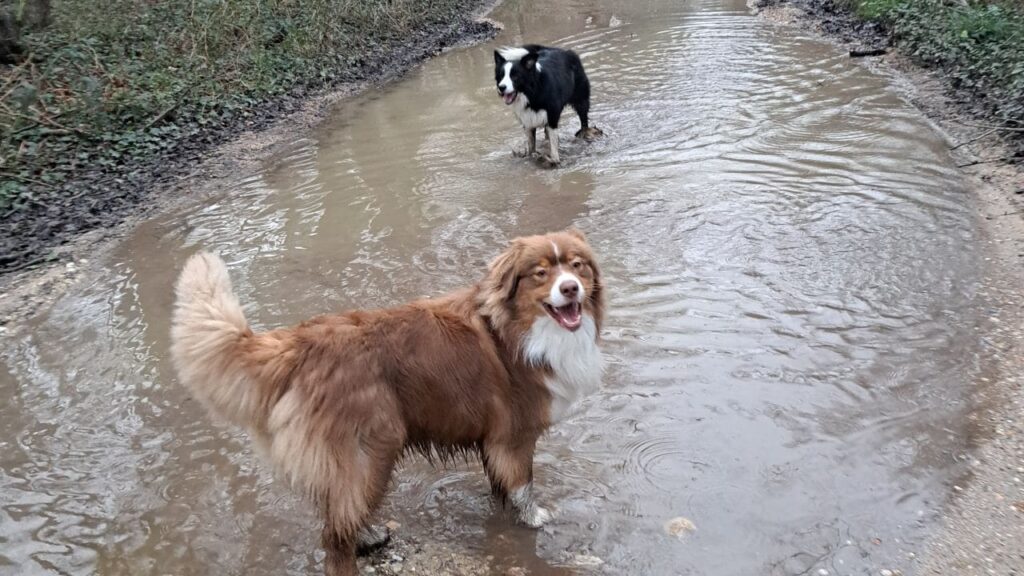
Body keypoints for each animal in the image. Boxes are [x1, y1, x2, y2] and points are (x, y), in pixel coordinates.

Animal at [166, 226, 598, 569]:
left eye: (578, 266)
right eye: (540, 273)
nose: (570, 288)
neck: (518, 328)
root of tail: (300, 343)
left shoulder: (493, 440)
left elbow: (501, 486)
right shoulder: (514, 435)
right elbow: (524, 483)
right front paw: (536, 518)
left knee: (337, 510)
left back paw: (369, 535)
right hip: (373, 447)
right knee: (334, 537)